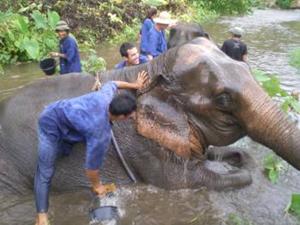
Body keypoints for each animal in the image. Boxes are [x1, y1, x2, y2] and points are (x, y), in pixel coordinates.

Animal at [0, 36, 298, 195]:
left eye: (246, 69)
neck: (154, 66)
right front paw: (240, 171)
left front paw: (237, 158)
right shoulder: (143, 147)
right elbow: (190, 181)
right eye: (223, 99)